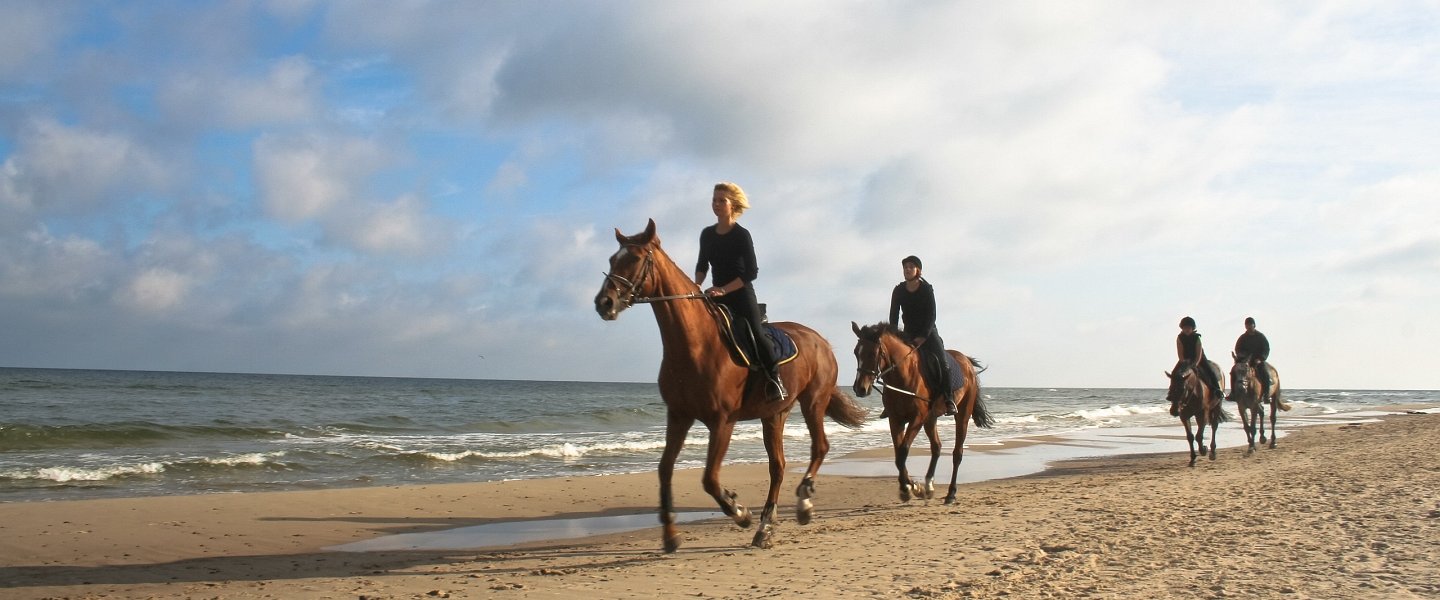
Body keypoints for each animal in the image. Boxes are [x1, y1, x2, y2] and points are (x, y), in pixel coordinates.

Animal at [593, 220, 864, 552]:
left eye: (634, 258)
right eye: (611, 259)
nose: (604, 303)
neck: (695, 344)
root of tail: (822, 341)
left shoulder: (722, 421)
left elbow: (709, 478)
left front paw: (740, 511)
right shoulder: (678, 416)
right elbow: (664, 469)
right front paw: (670, 536)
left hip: (813, 403)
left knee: (819, 447)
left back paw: (802, 504)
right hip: (774, 414)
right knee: (778, 466)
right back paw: (765, 528)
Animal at [840, 320, 990, 503]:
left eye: (874, 353)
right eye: (856, 352)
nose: (860, 388)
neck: (903, 376)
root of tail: (966, 361)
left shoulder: (917, 418)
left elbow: (903, 451)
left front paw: (908, 488)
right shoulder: (895, 419)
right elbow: (898, 454)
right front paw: (911, 487)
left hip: (962, 415)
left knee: (957, 453)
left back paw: (951, 493)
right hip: (931, 418)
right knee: (936, 447)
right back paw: (929, 486)